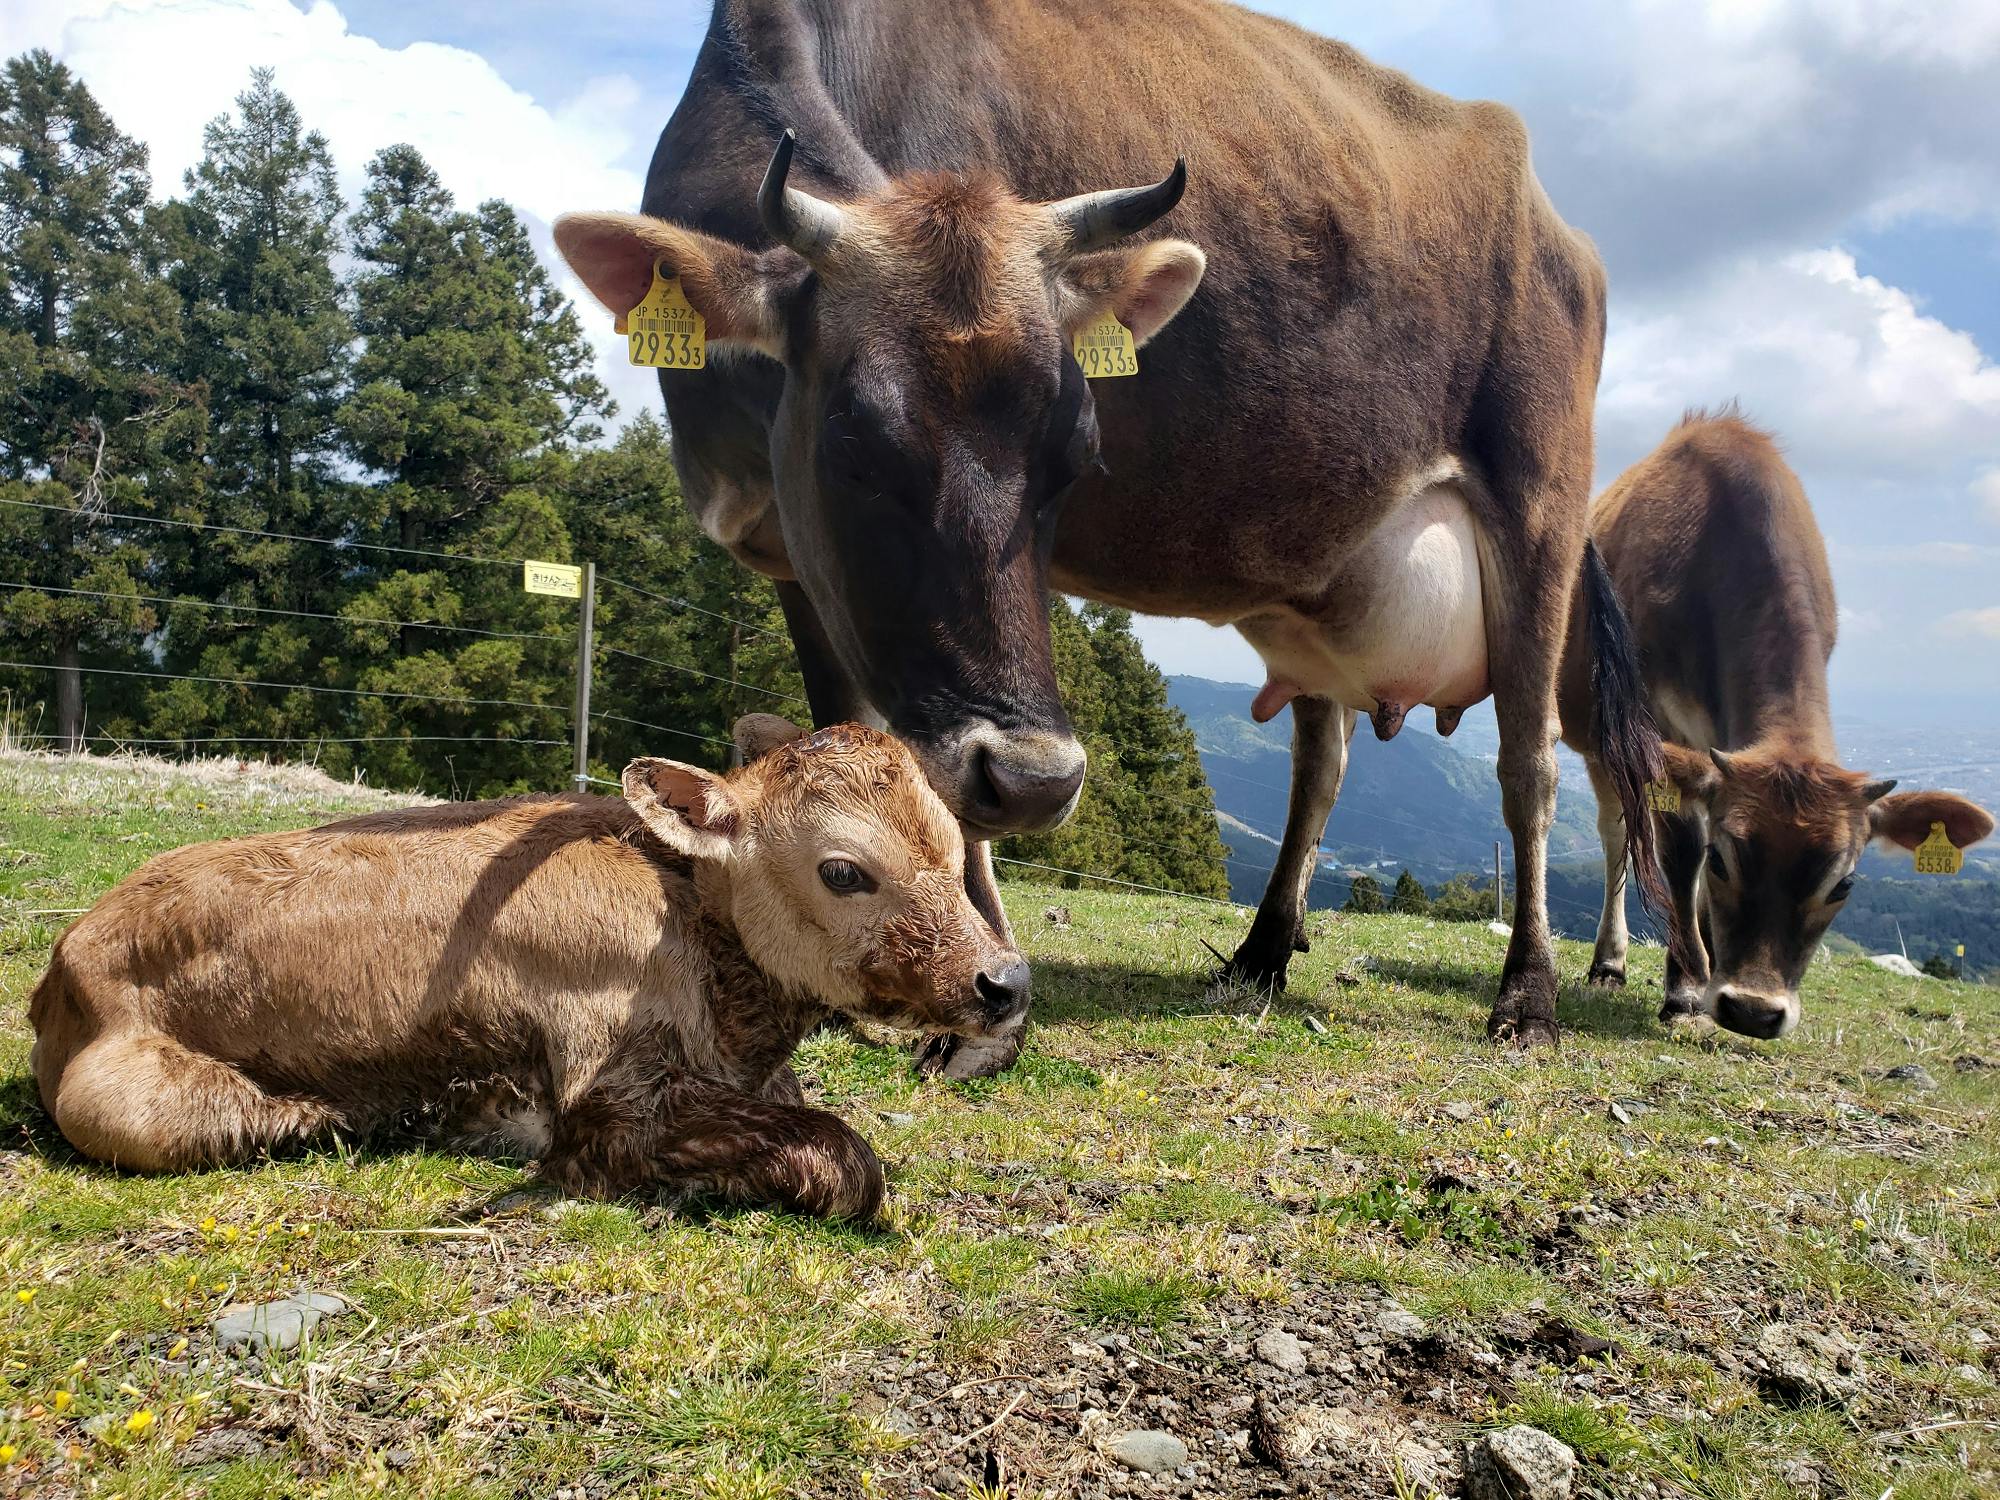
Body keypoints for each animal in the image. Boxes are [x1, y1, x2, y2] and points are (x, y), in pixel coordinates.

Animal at [27, 716, 1032, 1224]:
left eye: (955, 852)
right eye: (843, 870)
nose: (1004, 984)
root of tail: (65, 963)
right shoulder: (608, 1103)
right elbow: (847, 1160)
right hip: (128, 1110)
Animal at [552, 0, 1656, 1064]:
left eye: (1078, 451)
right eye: (852, 443)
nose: (1040, 781)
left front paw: (981, 1006)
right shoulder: (799, 562)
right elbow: (851, 738)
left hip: (1540, 506)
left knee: (1529, 767)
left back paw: (1529, 996)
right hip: (1322, 582)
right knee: (1323, 762)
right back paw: (1260, 953)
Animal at [1560, 418, 2000, 1040]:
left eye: (1843, 884)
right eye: (1724, 860)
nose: (1752, 1010)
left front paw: (1705, 970)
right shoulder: (1656, 724)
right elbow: (1680, 850)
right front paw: (1685, 987)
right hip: (1598, 736)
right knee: (1617, 831)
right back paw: (1610, 962)